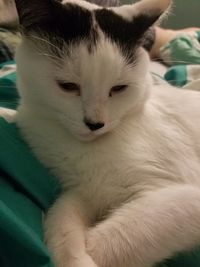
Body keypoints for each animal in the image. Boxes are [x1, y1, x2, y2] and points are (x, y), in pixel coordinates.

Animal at [13, 0, 200, 266]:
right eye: (67, 86)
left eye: (119, 88)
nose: (95, 124)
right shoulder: (84, 191)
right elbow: (60, 215)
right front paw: (69, 253)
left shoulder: (186, 195)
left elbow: (121, 236)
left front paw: (85, 257)